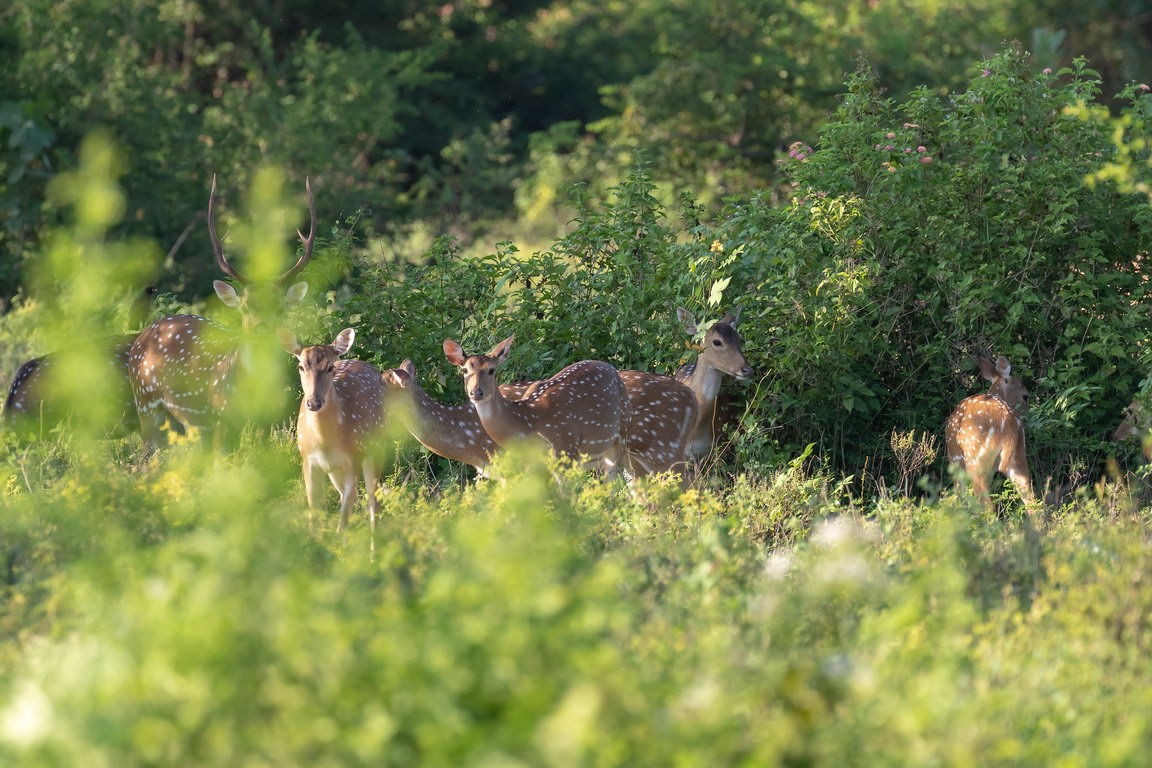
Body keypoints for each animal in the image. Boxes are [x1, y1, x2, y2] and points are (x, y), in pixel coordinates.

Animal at [128, 176, 314, 452]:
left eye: (280, 309)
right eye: (245, 307)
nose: (261, 330)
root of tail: (143, 335)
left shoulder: (268, 423)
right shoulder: (221, 417)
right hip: (145, 401)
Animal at [280, 327, 385, 532]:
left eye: (330, 367)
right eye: (301, 367)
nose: (314, 402)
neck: (325, 442)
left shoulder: (354, 459)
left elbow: (343, 521)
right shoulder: (307, 460)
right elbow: (314, 515)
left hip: (376, 448)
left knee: (373, 501)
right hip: (335, 470)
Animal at [442, 335, 630, 471]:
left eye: (491, 370)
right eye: (464, 370)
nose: (476, 392)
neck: (527, 421)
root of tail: (610, 367)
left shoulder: (565, 447)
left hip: (623, 433)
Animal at [945, 354, 1035, 505]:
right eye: (1025, 396)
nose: (1028, 415)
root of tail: (1008, 420)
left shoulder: (955, 459)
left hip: (974, 459)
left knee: (986, 504)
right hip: (1019, 456)